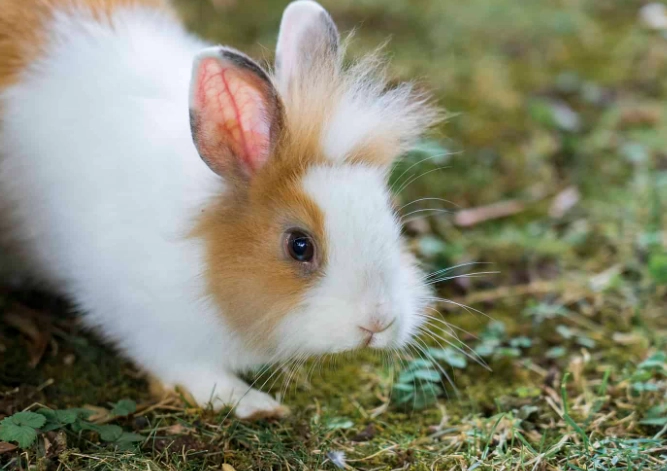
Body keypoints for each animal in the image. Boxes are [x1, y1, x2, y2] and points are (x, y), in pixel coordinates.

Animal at [0, 0, 439, 419]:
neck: (203, 251)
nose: (378, 322)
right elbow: (187, 368)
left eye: (394, 220)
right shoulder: (145, 322)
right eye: (300, 246)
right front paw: (250, 403)